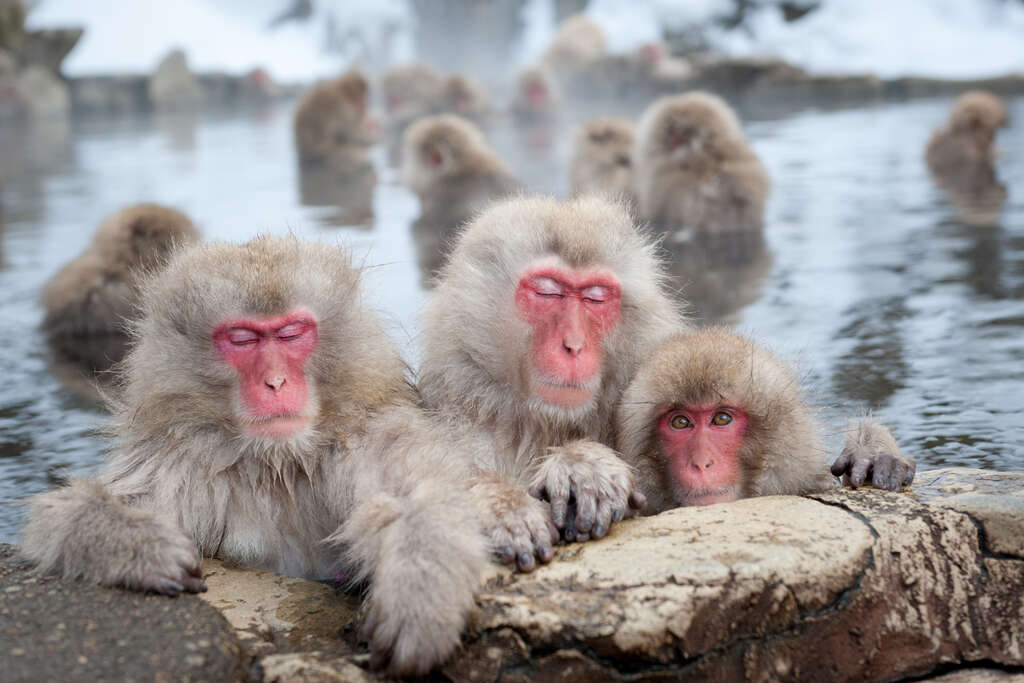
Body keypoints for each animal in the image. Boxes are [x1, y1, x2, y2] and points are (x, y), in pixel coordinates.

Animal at [23, 236, 487, 679]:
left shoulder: (364, 439)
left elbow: (422, 493)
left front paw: (419, 596)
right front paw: (141, 545)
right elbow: (60, 517)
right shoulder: (178, 463)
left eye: (292, 333)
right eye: (242, 339)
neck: (277, 463)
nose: (276, 382)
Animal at [419, 193, 684, 573]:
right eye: (548, 292)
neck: (542, 425)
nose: (573, 345)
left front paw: (583, 465)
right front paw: (501, 505)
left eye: (595, 297)